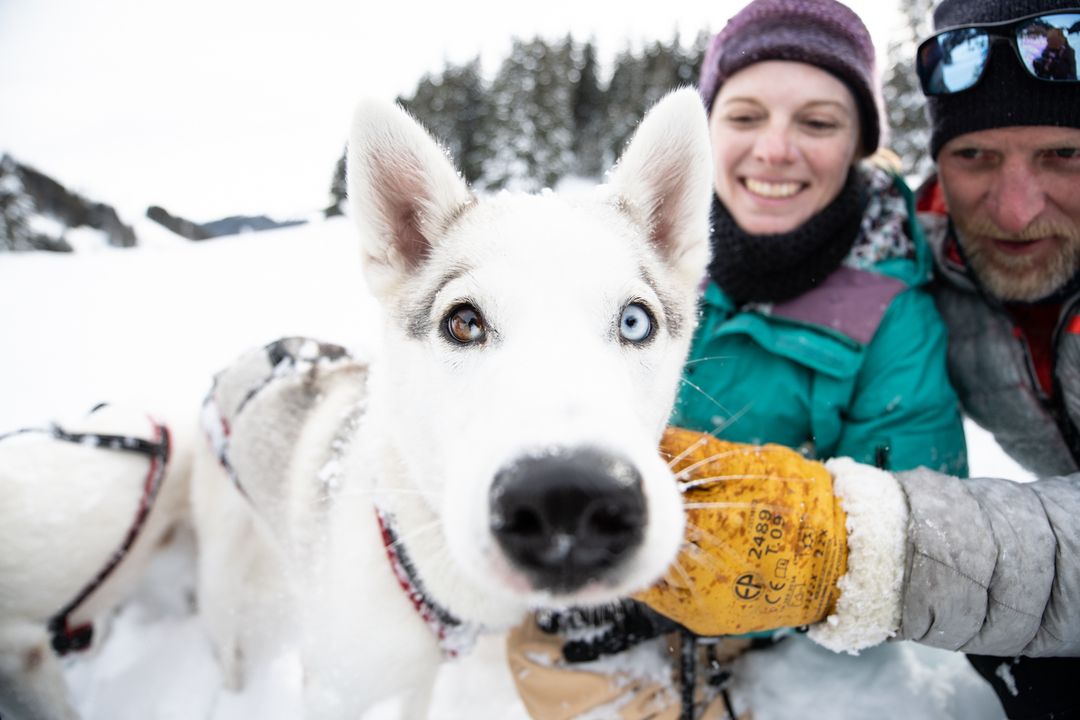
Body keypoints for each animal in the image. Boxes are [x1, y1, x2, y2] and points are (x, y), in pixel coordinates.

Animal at [192, 87, 717, 716]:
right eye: (464, 322)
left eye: (636, 321)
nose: (569, 498)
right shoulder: (329, 690)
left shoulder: (421, 675)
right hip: (221, 569)